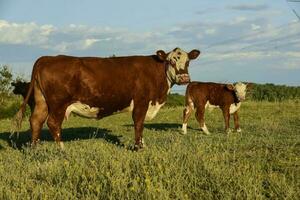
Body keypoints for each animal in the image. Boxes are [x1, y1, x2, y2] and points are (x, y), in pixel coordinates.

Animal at [14, 47, 202, 149]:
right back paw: (61, 149)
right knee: (52, 123)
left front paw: (142, 144)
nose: (184, 78)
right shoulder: (141, 102)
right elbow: (139, 124)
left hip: (41, 101)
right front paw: (138, 147)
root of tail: (47, 58)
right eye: (171, 61)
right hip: (58, 103)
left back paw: (35, 148)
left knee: (36, 121)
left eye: (188, 62)